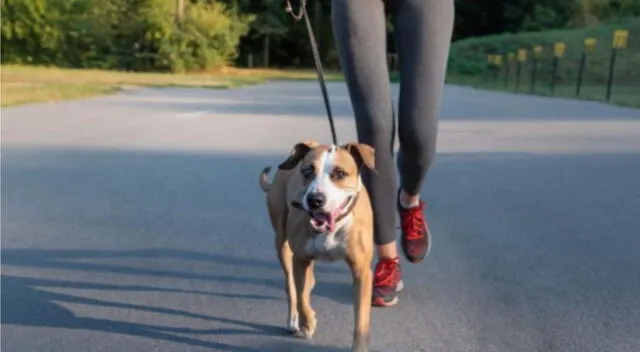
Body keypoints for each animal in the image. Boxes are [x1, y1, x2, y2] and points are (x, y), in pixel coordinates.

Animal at [258, 140, 376, 352]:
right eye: (307, 171)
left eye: (340, 173)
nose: (315, 199)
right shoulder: (300, 259)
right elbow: (301, 296)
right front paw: (308, 322)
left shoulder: (362, 271)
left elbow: (362, 317)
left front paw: (360, 346)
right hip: (282, 243)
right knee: (292, 286)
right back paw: (294, 319)